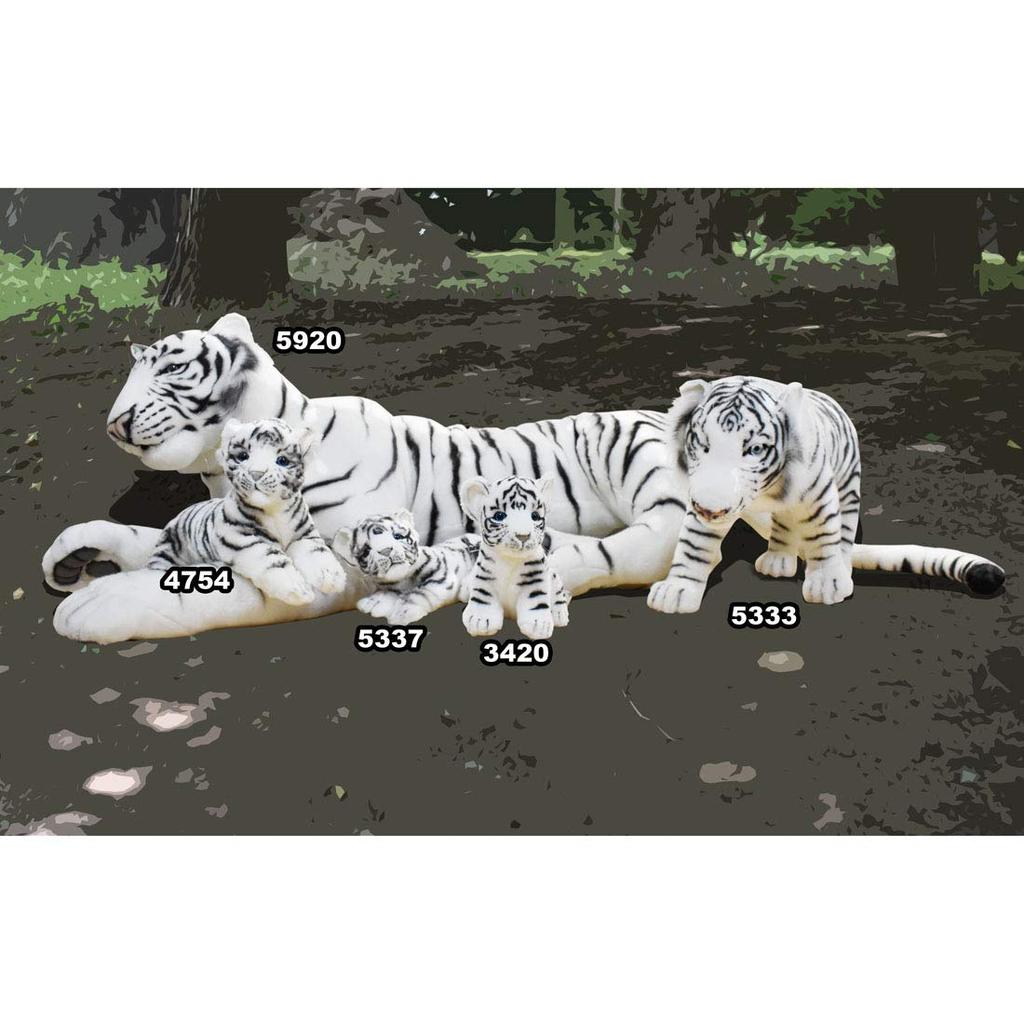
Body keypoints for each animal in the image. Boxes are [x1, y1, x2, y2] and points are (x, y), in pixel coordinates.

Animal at [148, 418, 347, 604]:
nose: (256, 473)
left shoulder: (304, 535)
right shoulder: (241, 539)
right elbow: (273, 559)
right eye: (244, 456)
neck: (275, 511)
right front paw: (298, 590)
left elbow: (318, 552)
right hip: (167, 550)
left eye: (282, 461)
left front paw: (333, 579)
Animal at [332, 510, 480, 625]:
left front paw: (402, 613)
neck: (403, 580)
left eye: (397, 536)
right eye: (366, 551)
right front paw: (372, 602)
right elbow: (388, 593)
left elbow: (419, 593)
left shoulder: (441, 575)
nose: (386, 550)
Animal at [459, 475, 570, 640]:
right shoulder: (485, 577)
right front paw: (481, 621)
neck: (510, 560)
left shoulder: (536, 578)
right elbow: (483, 596)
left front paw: (538, 625)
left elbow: (535, 600)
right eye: (499, 516)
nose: (523, 536)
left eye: (535, 516)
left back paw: (559, 614)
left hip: (554, 578)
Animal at [647, 375, 1006, 615]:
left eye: (755, 449)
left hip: (847, 489)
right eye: (702, 444)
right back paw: (777, 561)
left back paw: (840, 568)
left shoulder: (819, 498)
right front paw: (677, 590)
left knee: (842, 537)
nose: (711, 509)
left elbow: (823, 540)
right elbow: (694, 546)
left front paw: (826, 585)